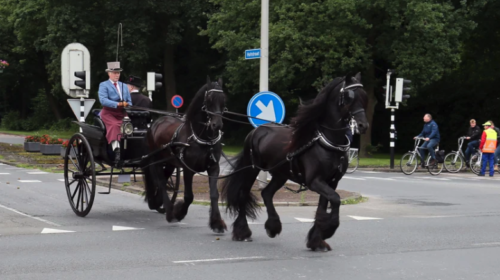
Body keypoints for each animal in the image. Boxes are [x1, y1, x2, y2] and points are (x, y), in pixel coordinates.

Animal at [141, 76, 227, 232]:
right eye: (209, 99)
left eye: (224, 99)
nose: (217, 125)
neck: (201, 137)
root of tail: (157, 122)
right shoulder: (188, 169)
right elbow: (188, 196)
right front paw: (179, 212)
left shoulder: (213, 168)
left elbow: (214, 194)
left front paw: (217, 222)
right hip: (155, 160)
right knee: (161, 182)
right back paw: (170, 213)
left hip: (169, 163)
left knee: (164, 179)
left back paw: (158, 202)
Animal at [221, 73, 370, 250]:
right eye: (349, 97)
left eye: (364, 96)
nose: (363, 125)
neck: (327, 142)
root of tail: (256, 131)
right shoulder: (315, 181)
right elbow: (335, 199)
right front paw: (329, 229)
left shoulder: (331, 182)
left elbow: (323, 207)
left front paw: (317, 240)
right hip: (252, 169)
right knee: (243, 194)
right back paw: (243, 232)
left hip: (280, 174)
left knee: (267, 193)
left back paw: (273, 226)